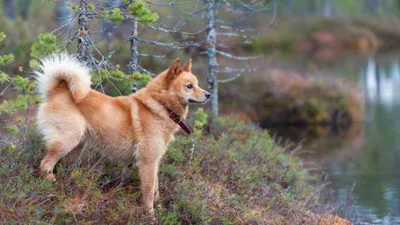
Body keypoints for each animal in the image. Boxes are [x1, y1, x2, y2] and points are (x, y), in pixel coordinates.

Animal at [36, 54, 211, 214]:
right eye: (189, 86)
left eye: (197, 84)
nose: (208, 94)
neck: (160, 105)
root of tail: (57, 89)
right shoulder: (147, 163)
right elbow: (149, 193)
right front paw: (150, 216)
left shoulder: (154, 162)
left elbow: (156, 191)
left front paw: (160, 210)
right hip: (67, 140)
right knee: (45, 165)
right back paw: (53, 187)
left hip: (77, 147)